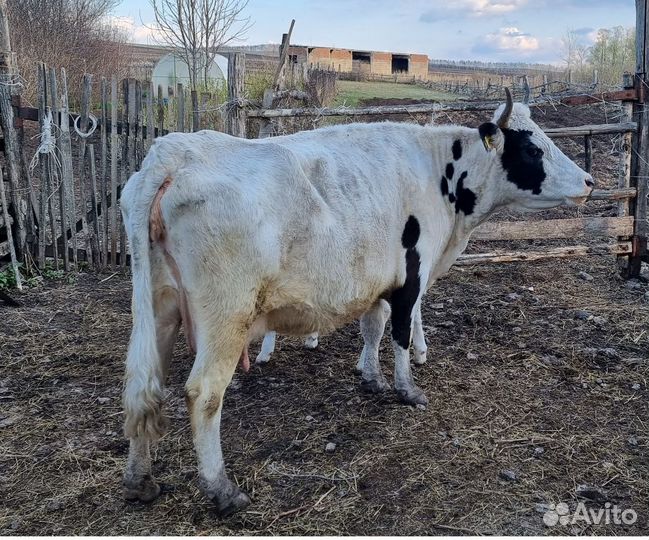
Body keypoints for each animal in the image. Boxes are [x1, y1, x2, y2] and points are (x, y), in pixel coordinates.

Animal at [120, 89, 593, 516]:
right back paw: (222, 490)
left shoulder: (378, 280)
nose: (589, 182)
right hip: (226, 318)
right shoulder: (411, 275)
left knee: (144, 387)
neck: (439, 171)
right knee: (204, 394)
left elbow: (373, 327)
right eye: (533, 147)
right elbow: (400, 332)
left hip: (159, 310)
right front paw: (407, 389)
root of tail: (174, 153)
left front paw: (371, 377)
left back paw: (141, 481)